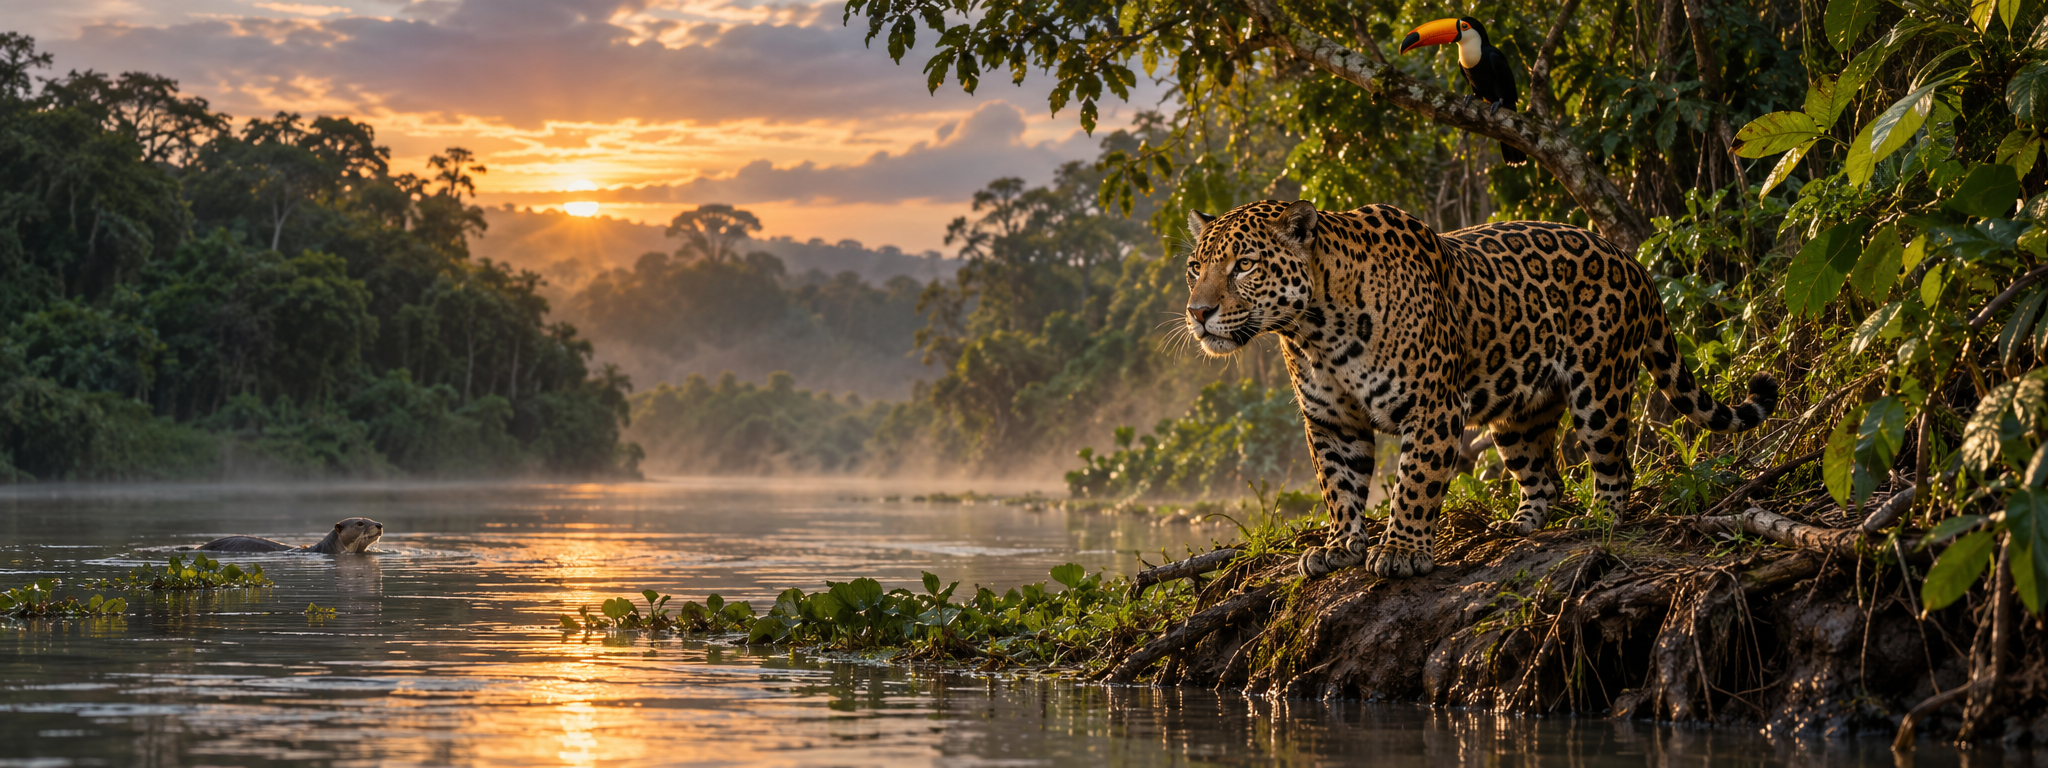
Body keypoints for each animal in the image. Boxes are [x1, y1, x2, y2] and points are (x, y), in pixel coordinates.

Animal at [1183, 200, 1777, 579]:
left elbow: (1414, 484)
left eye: (1244, 265)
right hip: (1519, 414)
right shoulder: (1331, 421)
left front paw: (1401, 552)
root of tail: (1632, 260)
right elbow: (1339, 487)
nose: (1197, 312)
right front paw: (1340, 547)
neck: (1315, 329)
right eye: (1195, 267)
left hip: (1599, 388)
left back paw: (1599, 521)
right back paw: (1516, 529)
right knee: (1546, 478)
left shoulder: (1433, 408)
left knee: (1615, 465)